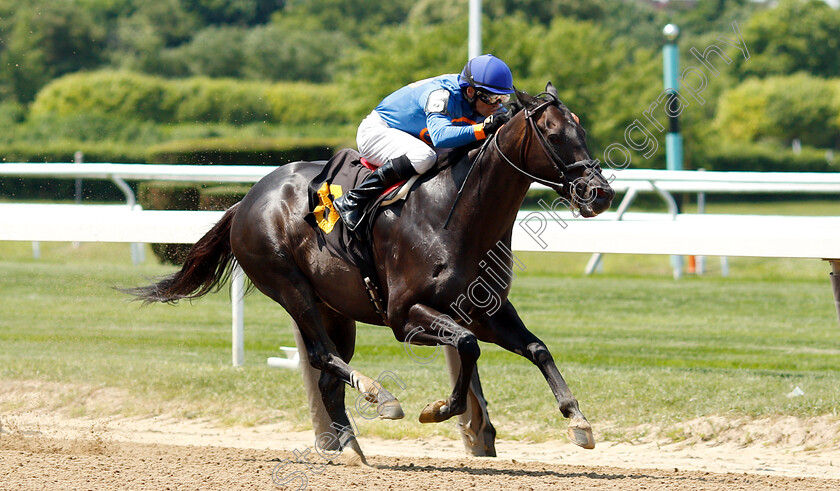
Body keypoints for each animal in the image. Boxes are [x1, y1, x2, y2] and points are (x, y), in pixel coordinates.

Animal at [131, 81, 616, 462]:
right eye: (552, 133)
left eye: (582, 130)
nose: (600, 193)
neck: (455, 214)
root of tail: (246, 199)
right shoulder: (405, 315)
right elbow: (466, 344)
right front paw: (438, 409)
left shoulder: (487, 310)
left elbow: (536, 349)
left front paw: (578, 421)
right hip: (290, 288)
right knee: (322, 356)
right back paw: (378, 395)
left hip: (335, 309)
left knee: (328, 378)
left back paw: (351, 449)